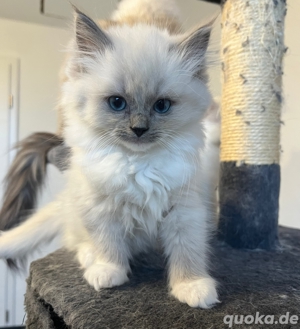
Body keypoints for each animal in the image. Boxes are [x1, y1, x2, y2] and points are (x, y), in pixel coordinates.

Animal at [0, 0, 220, 308]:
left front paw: (192, 287)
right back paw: (90, 259)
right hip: (78, 206)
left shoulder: (185, 208)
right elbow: (108, 243)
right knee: (78, 242)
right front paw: (109, 272)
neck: (139, 165)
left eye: (162, 106)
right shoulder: (100, 206)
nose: (138, 129)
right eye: (117, 103)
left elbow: (187, 251)